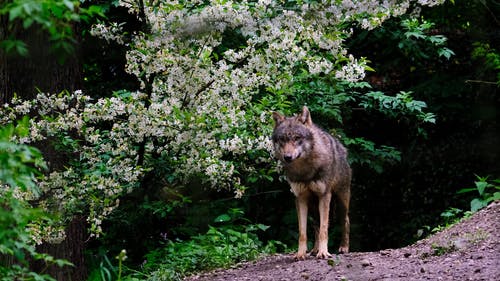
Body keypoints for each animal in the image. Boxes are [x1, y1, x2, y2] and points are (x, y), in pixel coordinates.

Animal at [274, 106, 352, 260]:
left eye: (297, 138)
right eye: (282, 139)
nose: (287, 157)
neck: (305, 170)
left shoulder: (324, 196)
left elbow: (324, 229)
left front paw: (324, 253)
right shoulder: (300, 198)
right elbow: (303, 232)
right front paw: (300, 254)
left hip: (341, 201)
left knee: (345, 221)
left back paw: (344, 247)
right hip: (313, 207)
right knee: (316, 226)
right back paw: (315, 250)